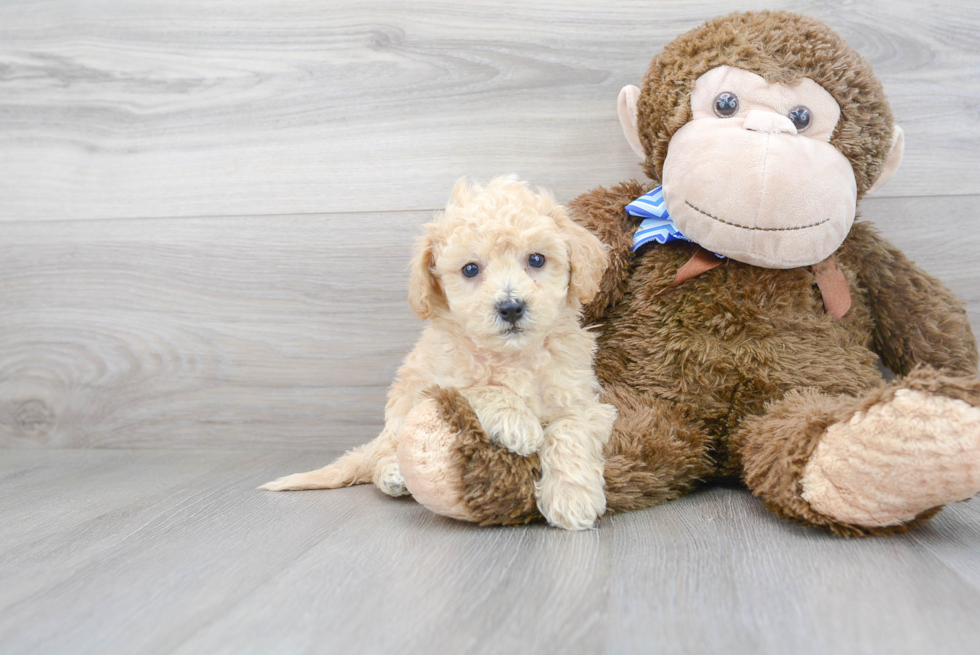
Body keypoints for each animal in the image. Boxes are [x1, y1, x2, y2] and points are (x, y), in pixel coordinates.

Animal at [264, 177, 616, 532]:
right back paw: (393, 474)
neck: (513, 355)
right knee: (382, 452)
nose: (511, 307)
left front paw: (571, 498)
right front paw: (517, 422)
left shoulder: (580, 397)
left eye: (537, 260)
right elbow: (482, 389)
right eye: (470, 269)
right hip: (399, 409)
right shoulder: (437, 384)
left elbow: (570, 429)